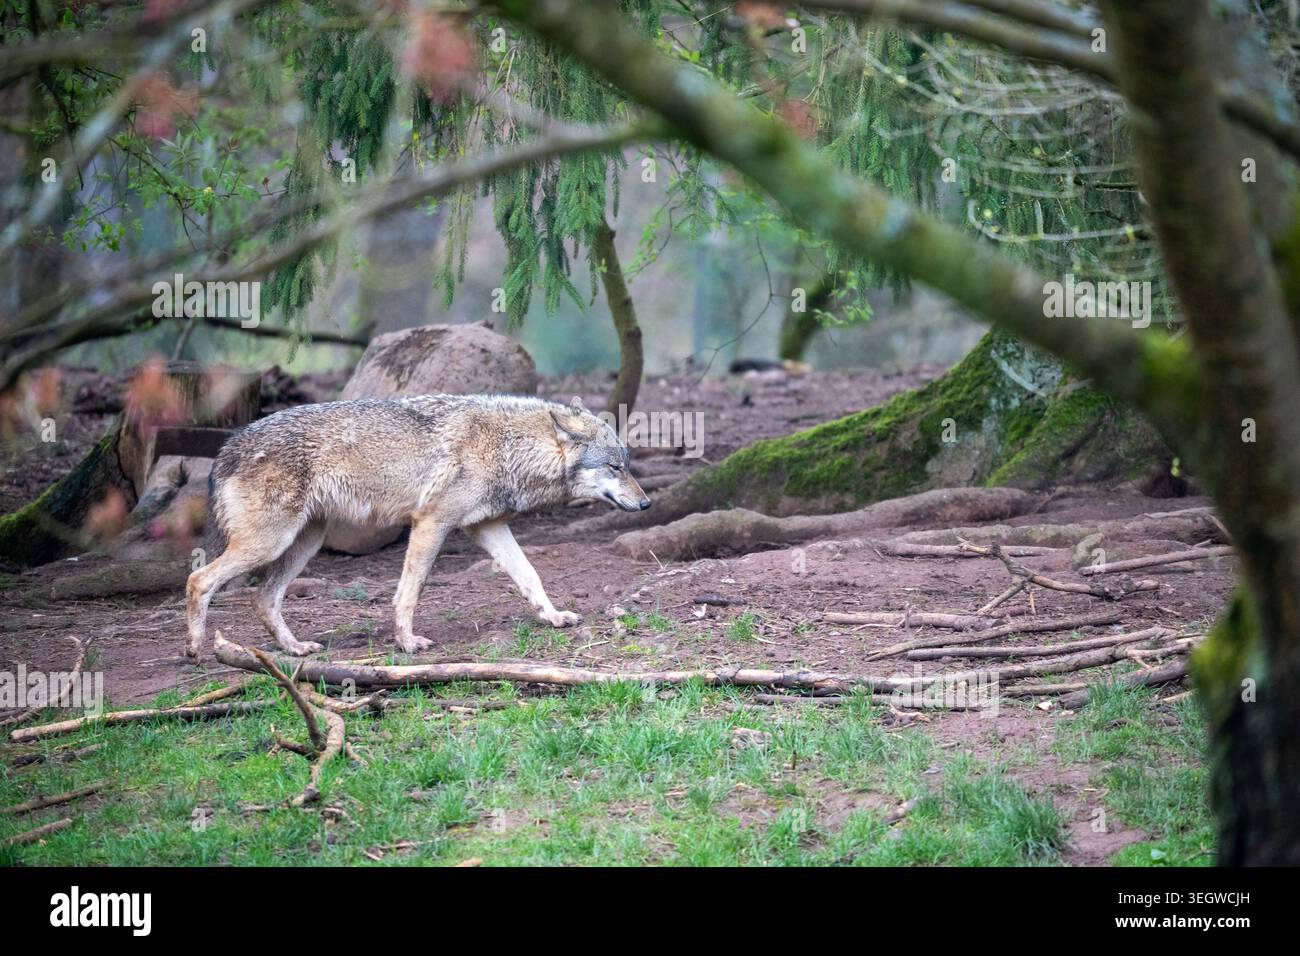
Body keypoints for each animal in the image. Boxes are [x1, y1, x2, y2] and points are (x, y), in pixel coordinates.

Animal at [185, 394, 650, 661]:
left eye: (627, 466)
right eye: (615, 467)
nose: (646, 503)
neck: (509, 445)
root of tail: (227, 447)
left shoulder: (487, 527)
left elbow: (530, 576)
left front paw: (552, 616)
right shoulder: (431, 522)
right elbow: (411, 589)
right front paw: (407, 642)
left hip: (304, 544)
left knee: (263, 598)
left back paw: (295, 649)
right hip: (270, 543)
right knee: (198, 579)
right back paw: (194, 648)